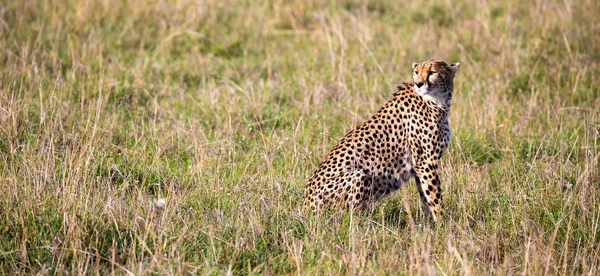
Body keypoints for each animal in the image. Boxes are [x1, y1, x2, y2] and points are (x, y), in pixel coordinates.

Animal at [302, 59, 462, 221]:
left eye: (432, 72)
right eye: (416, 72)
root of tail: (304, 208)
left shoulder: (420, 165)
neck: (438, 101)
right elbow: (435, 197)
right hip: (359, 174)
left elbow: (426, 197)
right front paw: (444, 223)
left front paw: (430, 223)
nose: (418, 84)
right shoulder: (426, 162)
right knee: (349, 217)